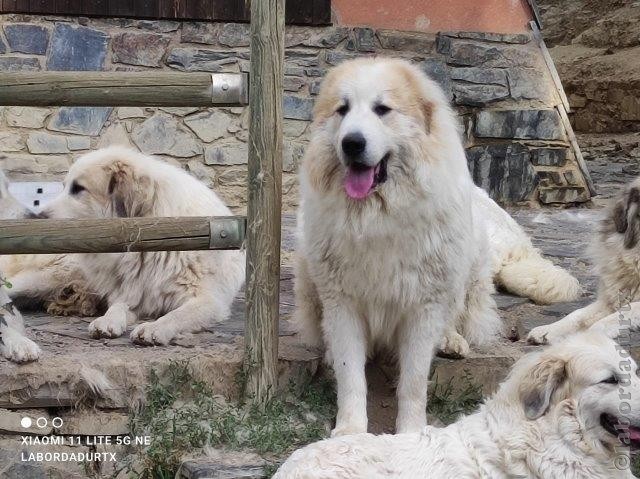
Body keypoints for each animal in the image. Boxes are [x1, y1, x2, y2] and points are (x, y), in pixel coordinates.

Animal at [294, 58, 580, 436]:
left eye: (382, 109)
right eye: (342, 110)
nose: (352, 143)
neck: (377, 217)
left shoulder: (423, 304)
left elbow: (414, 382)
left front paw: (411, 433)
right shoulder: (342, 303)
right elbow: (350, 375)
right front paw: (350, 430)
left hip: (468, 265)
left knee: (457, 314)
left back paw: (450, 340)